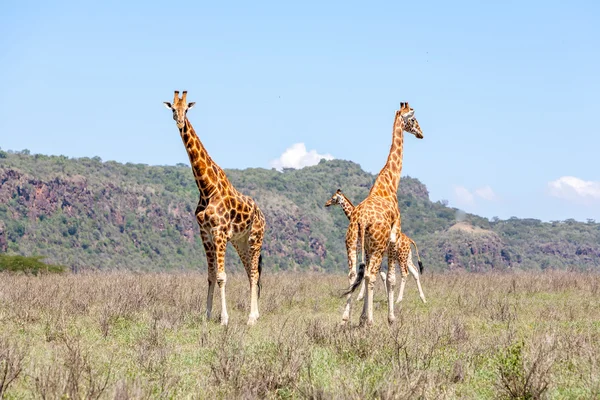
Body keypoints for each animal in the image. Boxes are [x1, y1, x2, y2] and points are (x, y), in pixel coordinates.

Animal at [165, 90, 266, 324]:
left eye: (187, 109)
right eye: (173, 108)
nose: (179, 121)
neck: (206, 187)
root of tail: (262, 215)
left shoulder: (219, 233)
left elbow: (221, 277)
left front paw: (224, 319)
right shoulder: (206, 234)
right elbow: (210, 276)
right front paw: (207, 315)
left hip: (255, 239)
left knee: (254, 272)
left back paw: (251, 318)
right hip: (240, 242)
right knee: (250, 273)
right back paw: (254, 315)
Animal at [342, 103, 422, 324]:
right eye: (413, 120)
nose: (421, 133)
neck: (390, 183)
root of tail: (361, 220)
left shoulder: (369, 247)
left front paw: (361, 317)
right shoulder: (393, 238)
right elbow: (391, 279)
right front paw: (390, 318)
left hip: (352, 242)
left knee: (354, 273)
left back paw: (345, 318)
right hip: (378, 246)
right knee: (370, 275)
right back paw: (370, 321)